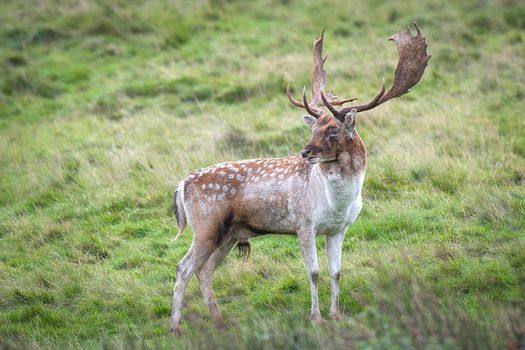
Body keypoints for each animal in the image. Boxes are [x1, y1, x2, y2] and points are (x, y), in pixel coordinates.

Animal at [170, 23, 428, 334]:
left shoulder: (339, 228)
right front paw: (316, 317)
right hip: (207, 226)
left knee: (205, 270)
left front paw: (336, 314)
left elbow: (336, 272)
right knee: (183, 267)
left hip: (230, 233)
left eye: (332, 130)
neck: (337, 202)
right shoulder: (304, 224)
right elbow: (314, 272)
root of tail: (181, 185)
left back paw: (219, 322)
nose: (305, 152)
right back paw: (175, 328)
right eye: (314, 127)